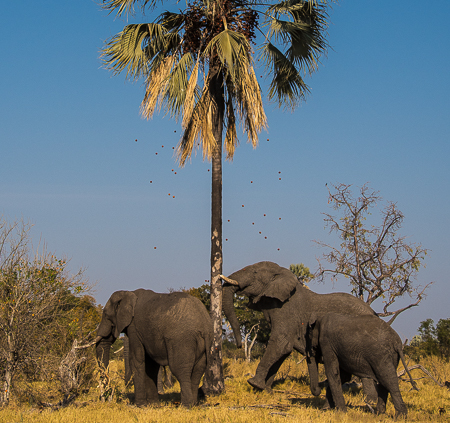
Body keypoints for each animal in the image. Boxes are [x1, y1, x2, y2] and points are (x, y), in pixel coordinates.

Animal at [221, 260, 376, 396]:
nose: (239, 346)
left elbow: (280, 344)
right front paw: (266, 390)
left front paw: (254, 383)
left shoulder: (286, 311)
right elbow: (285, 349)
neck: (282, 273)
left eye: (254, 272)